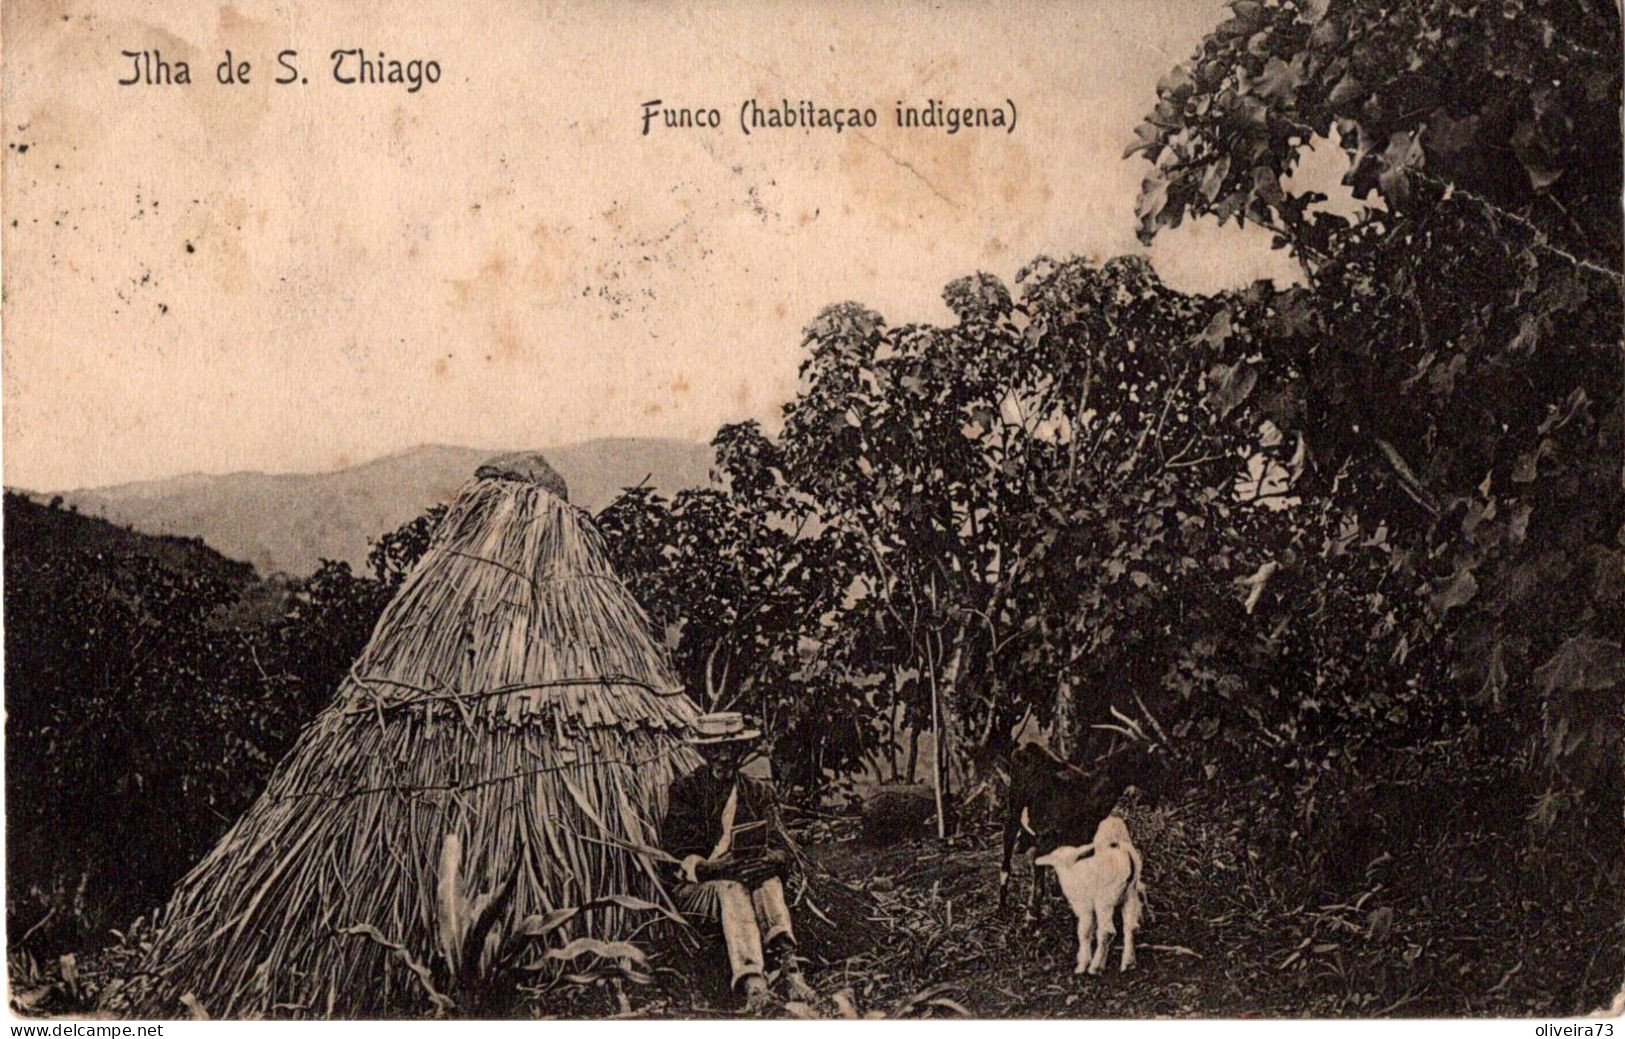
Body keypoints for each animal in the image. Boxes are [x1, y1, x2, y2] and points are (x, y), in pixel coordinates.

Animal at [1033, 816, 1137, 982]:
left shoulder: (1083, 906)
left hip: (1105, 900)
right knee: (1130, 927)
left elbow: (1083, 931)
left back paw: (1095, 968)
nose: (1037, 860)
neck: (1070, 871)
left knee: (1107, 931)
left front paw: (1082, 964)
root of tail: (1126, 858)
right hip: (1130, 894)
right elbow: (1089, 930)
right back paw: (1128, 963)